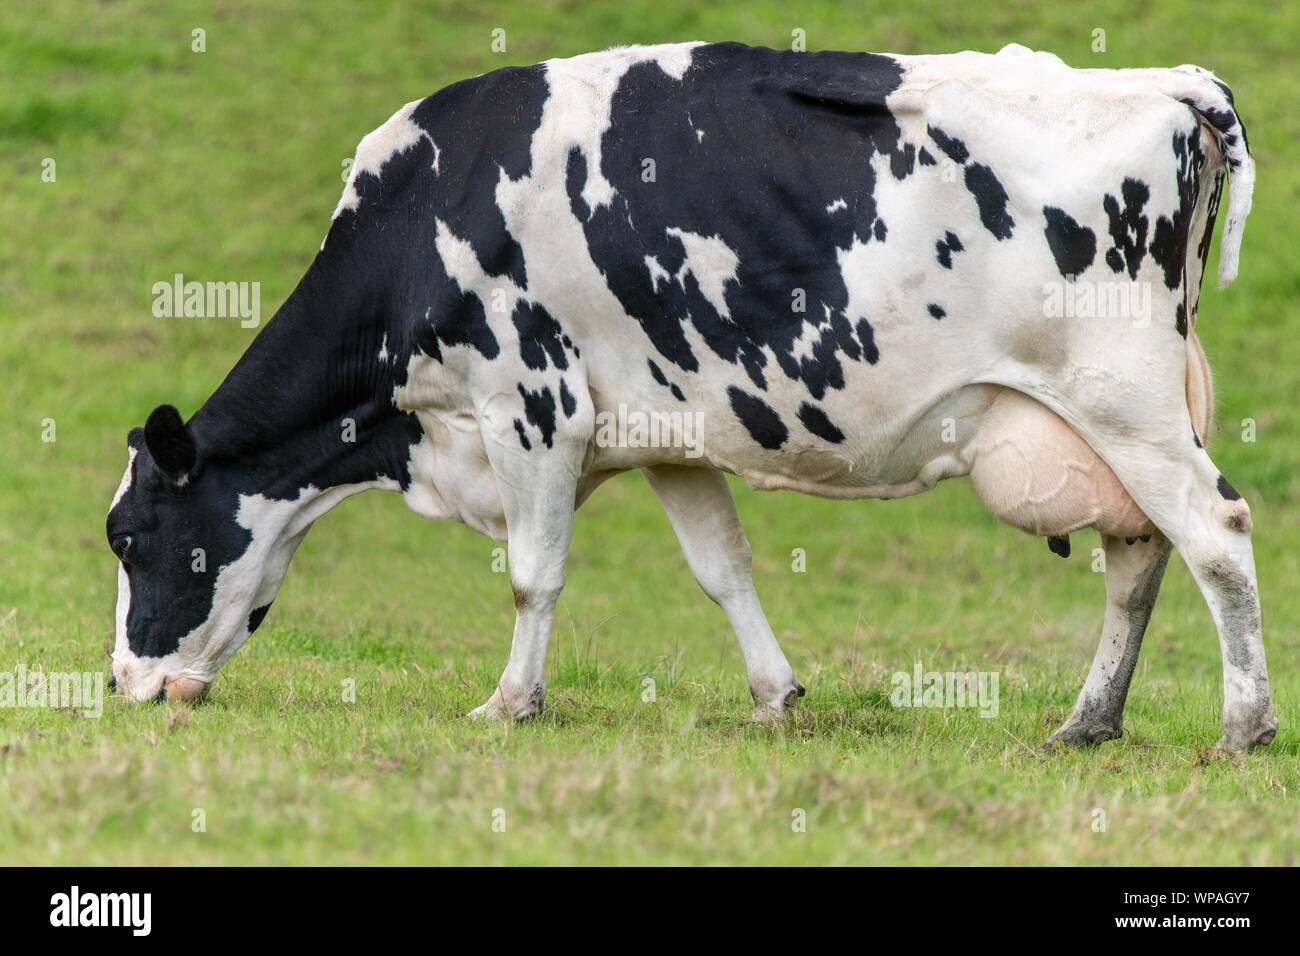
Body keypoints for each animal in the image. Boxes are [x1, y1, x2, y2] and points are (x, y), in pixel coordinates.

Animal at [106, 41, 1276, 751]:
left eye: (127, 537)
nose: (120, 683)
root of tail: (1166, 85)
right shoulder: (668, 431)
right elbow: (722, 569)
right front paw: (775, 694)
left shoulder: (530, 402)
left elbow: (531, 575)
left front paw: (509, 702)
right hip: (1117, 410)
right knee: (1139, 552)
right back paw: (1089, 721)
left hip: (1117, 391)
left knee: (1213, 529)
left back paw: (1243, 725)